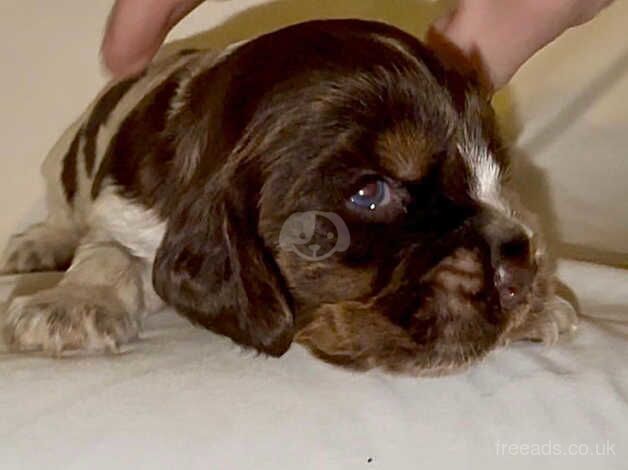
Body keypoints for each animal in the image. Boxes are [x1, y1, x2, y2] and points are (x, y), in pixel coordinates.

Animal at [1, 19, 580, 374]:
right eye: (370, 193)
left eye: (498, 172)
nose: (522, 264)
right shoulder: (120, 210)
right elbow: (107, 253)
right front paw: (70, 306)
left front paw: (544, 306)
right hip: (62, 162)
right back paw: (35, 246)